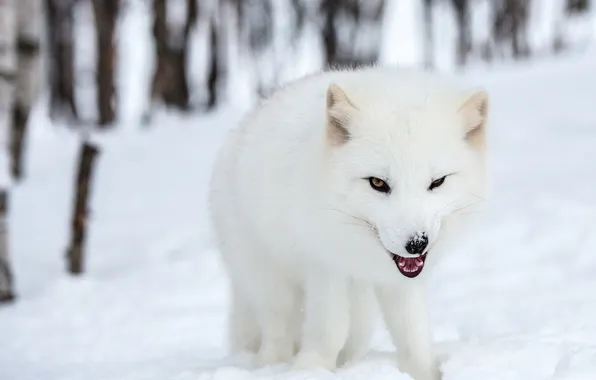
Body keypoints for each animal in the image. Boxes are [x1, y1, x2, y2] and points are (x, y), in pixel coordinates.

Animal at [210, 66, 488, 380]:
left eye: (437, 182)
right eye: (377, 183)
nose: (417, 243)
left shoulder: (401, 282)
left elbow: (413, 335)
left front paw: (423, 373)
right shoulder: (324, 265)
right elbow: (328, 331)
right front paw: (310, 369)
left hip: (360, 311)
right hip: (271, 282)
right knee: (278, 330)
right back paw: (271, 365)